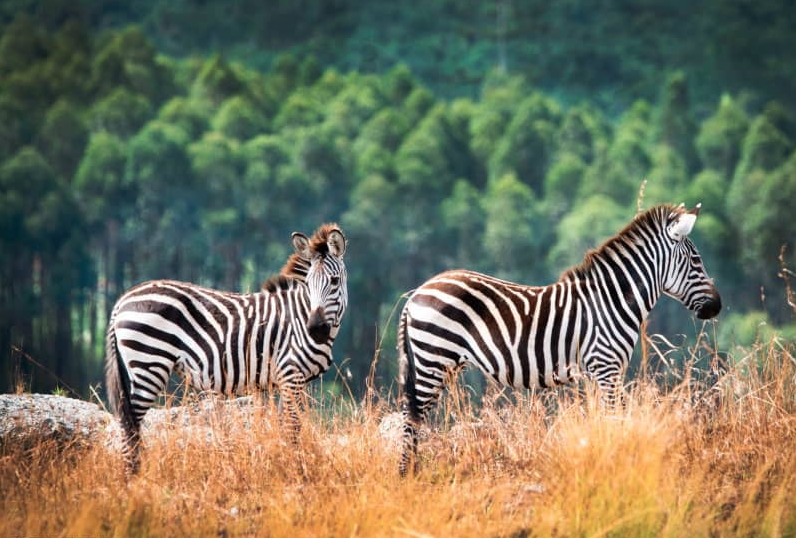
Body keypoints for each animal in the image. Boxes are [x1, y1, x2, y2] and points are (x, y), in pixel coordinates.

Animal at [105, 223, 348, 471]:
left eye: (334, 281)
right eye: (308, 285)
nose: (315, 329)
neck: (299, 315)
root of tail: (122, 300)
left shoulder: (289, 380)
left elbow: (286, 426)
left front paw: (286, 464)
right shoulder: (290, 374)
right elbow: (294, 429)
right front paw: (297, 470)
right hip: (150, 362)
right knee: (130, 425)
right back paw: (132, 476)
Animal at [397, 204, 721, 475]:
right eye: (696, 261)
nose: (717, 307)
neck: (613, 299)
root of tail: (418, 292)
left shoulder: (599, 372)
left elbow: (604, 419)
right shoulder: (607, 366)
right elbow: (616, 418)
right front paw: (618, 461)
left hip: (437, 363)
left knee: (413, 414)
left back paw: (412, 471)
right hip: (433, 358)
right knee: (412, 417)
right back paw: (407, 476)